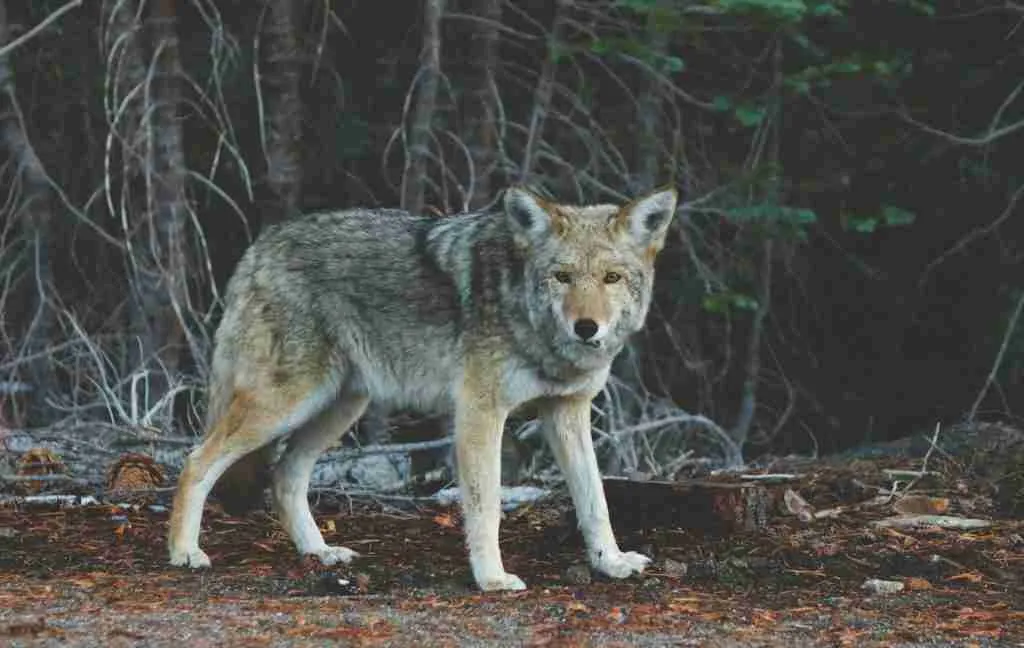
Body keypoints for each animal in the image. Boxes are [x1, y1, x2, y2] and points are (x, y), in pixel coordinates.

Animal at [167, 186, 678, 591]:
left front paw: (611, 563)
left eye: (611, 277)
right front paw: (492, 579)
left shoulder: (567, 411)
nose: (586, 327)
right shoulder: (479, 413)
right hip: (287, 403)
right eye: (563, 276)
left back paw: (320, 553)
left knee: (285, 476)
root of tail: (260, 245)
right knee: (197, 461)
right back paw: (185, 552)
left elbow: (595, 500)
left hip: (339, 407)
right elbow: (486, 505)